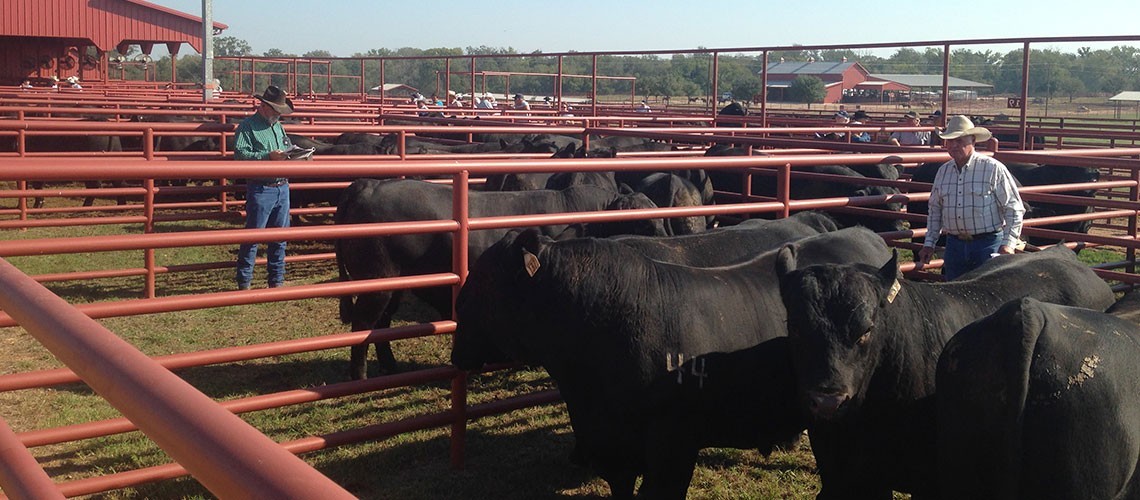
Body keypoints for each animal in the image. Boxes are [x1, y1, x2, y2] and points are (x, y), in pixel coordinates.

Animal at [332, 179, 661, 380]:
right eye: (645, 223)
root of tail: (368, 185)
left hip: (394, 286)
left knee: (381, 325)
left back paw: (389, 367)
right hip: (377, 282)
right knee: (363, 325)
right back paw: (359, 376)